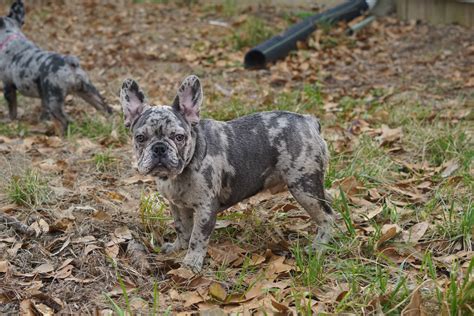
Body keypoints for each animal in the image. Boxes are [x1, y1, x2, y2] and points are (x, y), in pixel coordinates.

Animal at [0, 0, 112, 133]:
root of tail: (70, 64)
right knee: (105, 108)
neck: (11, 36)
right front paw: (43, 121)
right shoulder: (44, 95)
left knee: (65, 120)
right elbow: (43, 109)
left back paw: (62, 134)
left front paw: (9, 120)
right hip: (88, 91)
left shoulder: (8, 86)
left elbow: (12, 107)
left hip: (54, 101)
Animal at [120, 75, 336, 270]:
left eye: (179, 137)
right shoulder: (177, 205)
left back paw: (319, 246)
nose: (159, 148)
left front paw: (191, 263)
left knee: (326, 216)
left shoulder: (206, 208)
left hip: (304, 186)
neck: (180, 172)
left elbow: (197, 237)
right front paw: (177, 247)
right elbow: (182, 228)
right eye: (140, 138)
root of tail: (308, 121)